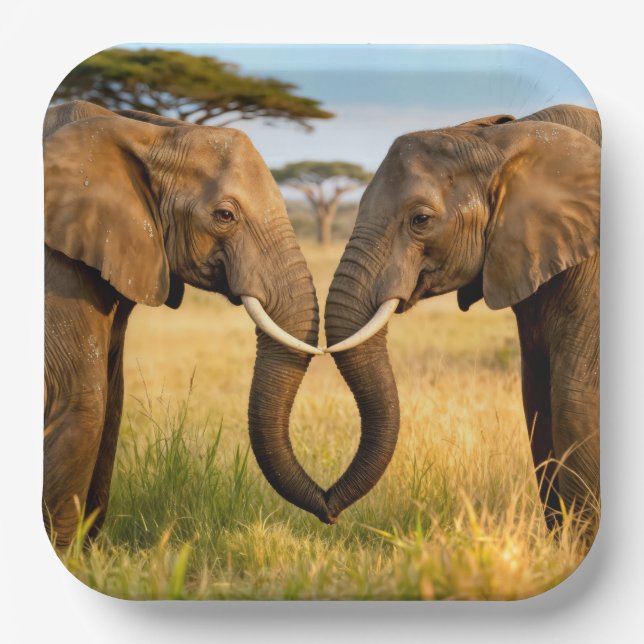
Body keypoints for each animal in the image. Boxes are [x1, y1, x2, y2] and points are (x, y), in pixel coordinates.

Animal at [44, 101, 329, 548]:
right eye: (225, 215)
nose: (331, 510)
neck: (145, 130)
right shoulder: (56, 270)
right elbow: (82, 403)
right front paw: (66, 554)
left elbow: (112, 404)